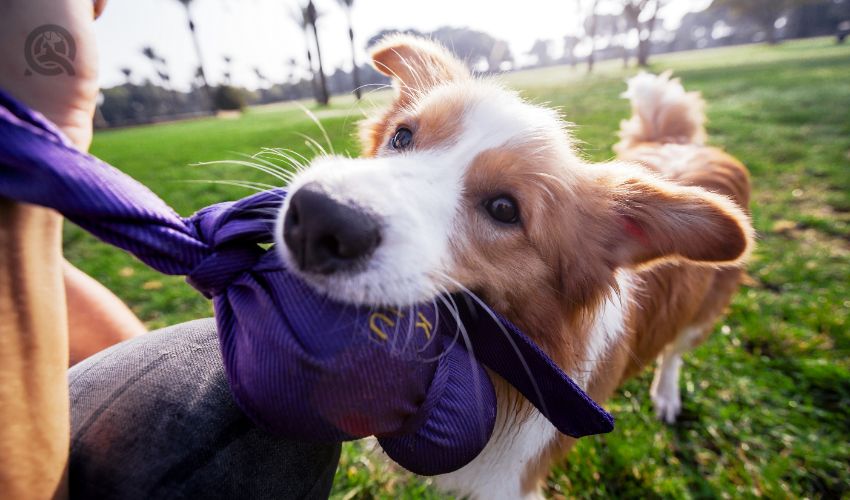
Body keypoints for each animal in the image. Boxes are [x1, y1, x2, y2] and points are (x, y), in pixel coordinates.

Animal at [274, 37, 752, 498]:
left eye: (504, 209)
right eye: (402, 136)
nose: (317, 217)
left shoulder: (516, 480)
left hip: (702, 314)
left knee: (675, 350)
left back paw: (666, 394)